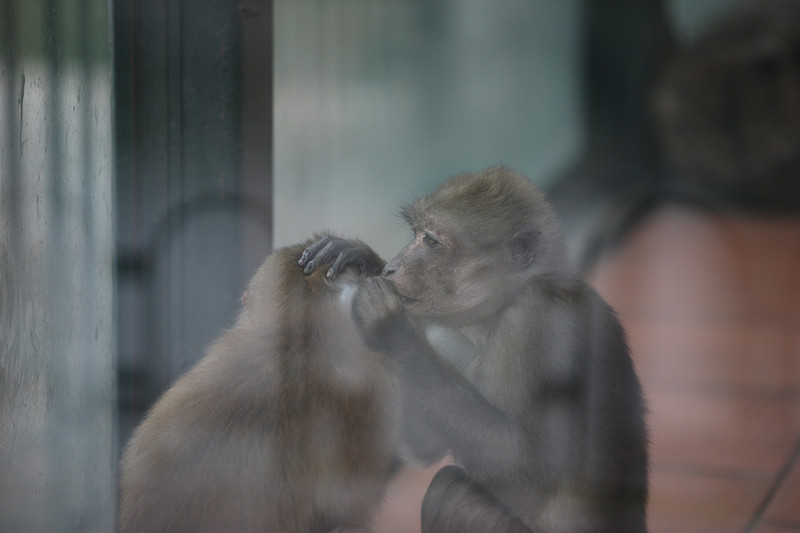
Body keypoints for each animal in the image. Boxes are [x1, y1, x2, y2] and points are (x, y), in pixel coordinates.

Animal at [300, 166, 648, 532]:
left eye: (431, 241)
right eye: (416, 233)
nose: (392, 267)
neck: (501, 308)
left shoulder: (538, 323)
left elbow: (523, 463)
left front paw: (393, 332)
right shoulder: (450, 337)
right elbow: (427, 444)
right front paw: (365, 261)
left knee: (451, 494)